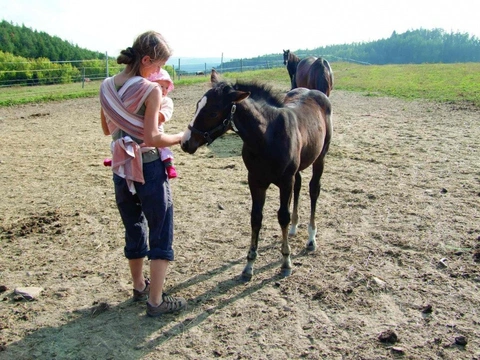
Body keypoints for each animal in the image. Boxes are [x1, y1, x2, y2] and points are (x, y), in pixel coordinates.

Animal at [182, 69, 332, 280]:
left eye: (213, 112)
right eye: (197, 105)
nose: (185, 143)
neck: (267, 137)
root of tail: (315, 92)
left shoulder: (285, 181)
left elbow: (282, 216)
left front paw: (286, 262)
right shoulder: (255, 180)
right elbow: (256, 217)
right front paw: (249, 265)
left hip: (320, 157)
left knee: (313, 190)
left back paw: (311, 238)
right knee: (300, 185)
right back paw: (294, 228)